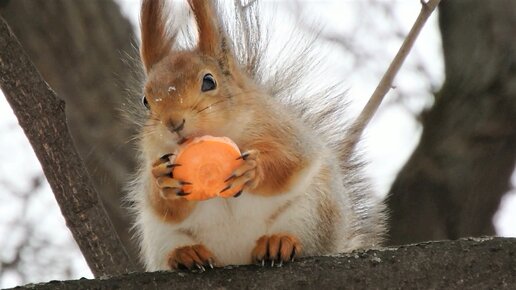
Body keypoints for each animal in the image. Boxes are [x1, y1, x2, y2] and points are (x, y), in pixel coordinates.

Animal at [129, 0, 388, 272]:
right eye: (145, 100)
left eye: (209, 81)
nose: (173, 122)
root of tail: (237, 256)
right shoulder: (154, 154)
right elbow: (163, 205)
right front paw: (163, 180)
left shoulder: (283, 132)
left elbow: (288, 163)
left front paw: (253, 169)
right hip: (159, 236)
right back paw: (186, 255)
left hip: (313, 211)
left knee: (302, 238)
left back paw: (279, 242)